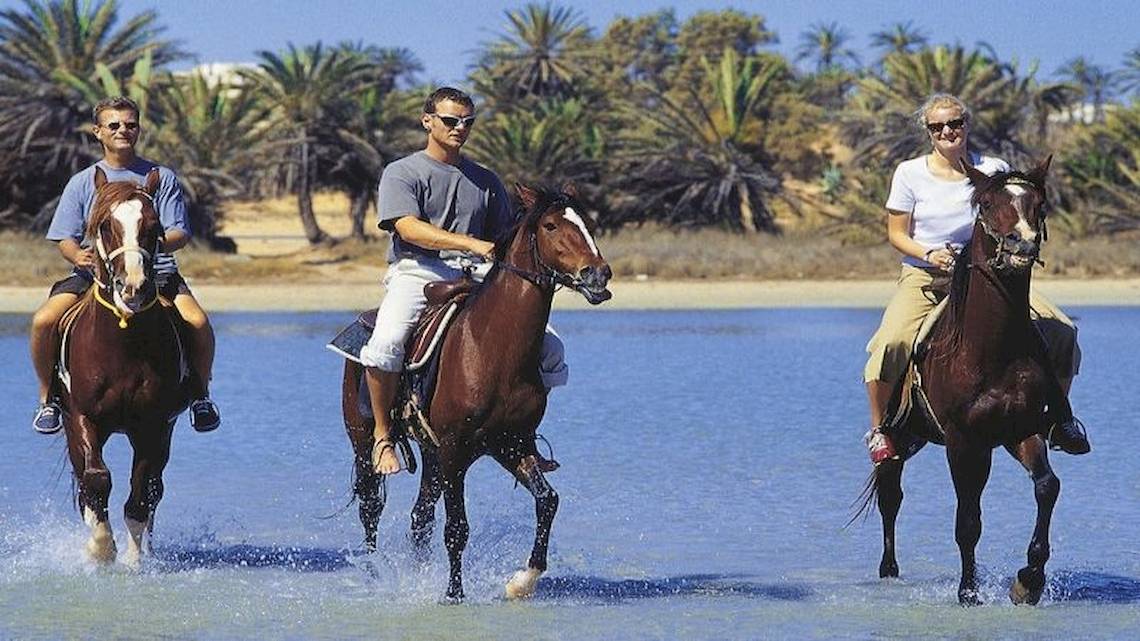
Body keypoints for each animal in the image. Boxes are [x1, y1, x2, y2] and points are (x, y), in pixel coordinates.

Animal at [57, 167, 189, 565]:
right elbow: (96, 478)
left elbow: (140, 494)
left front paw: (132, 559)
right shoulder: (82, 416)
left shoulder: (152, 425)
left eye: (154, 226)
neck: (122, 341)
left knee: (154, 488)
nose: (133, 288)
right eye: (104, 225)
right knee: (86, 481)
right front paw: (101, 548)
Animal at [342, 183, 611, 597]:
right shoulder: (456, 448)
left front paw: (523, 580)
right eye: (550, 225)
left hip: (432, 454)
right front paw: (454, 594)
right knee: (371, 507)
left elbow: (547, 501)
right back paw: (373, 571)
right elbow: (456, 528)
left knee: (420, 517)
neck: (493, 349)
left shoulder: (511, 443)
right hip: (364, 440)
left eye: (588, 224)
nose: (598, 274)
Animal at [870, 156, 1067, 602]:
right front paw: (968, 593)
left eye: (1040, 205)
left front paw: (1028, 579)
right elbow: (968, 521)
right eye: (988, 203)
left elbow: (1047, 487)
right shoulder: (963, 442)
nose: (1022, 246)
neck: (990, 348)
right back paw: (888, 569)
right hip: (901, 437)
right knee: (890, 494)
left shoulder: (1021, 430)